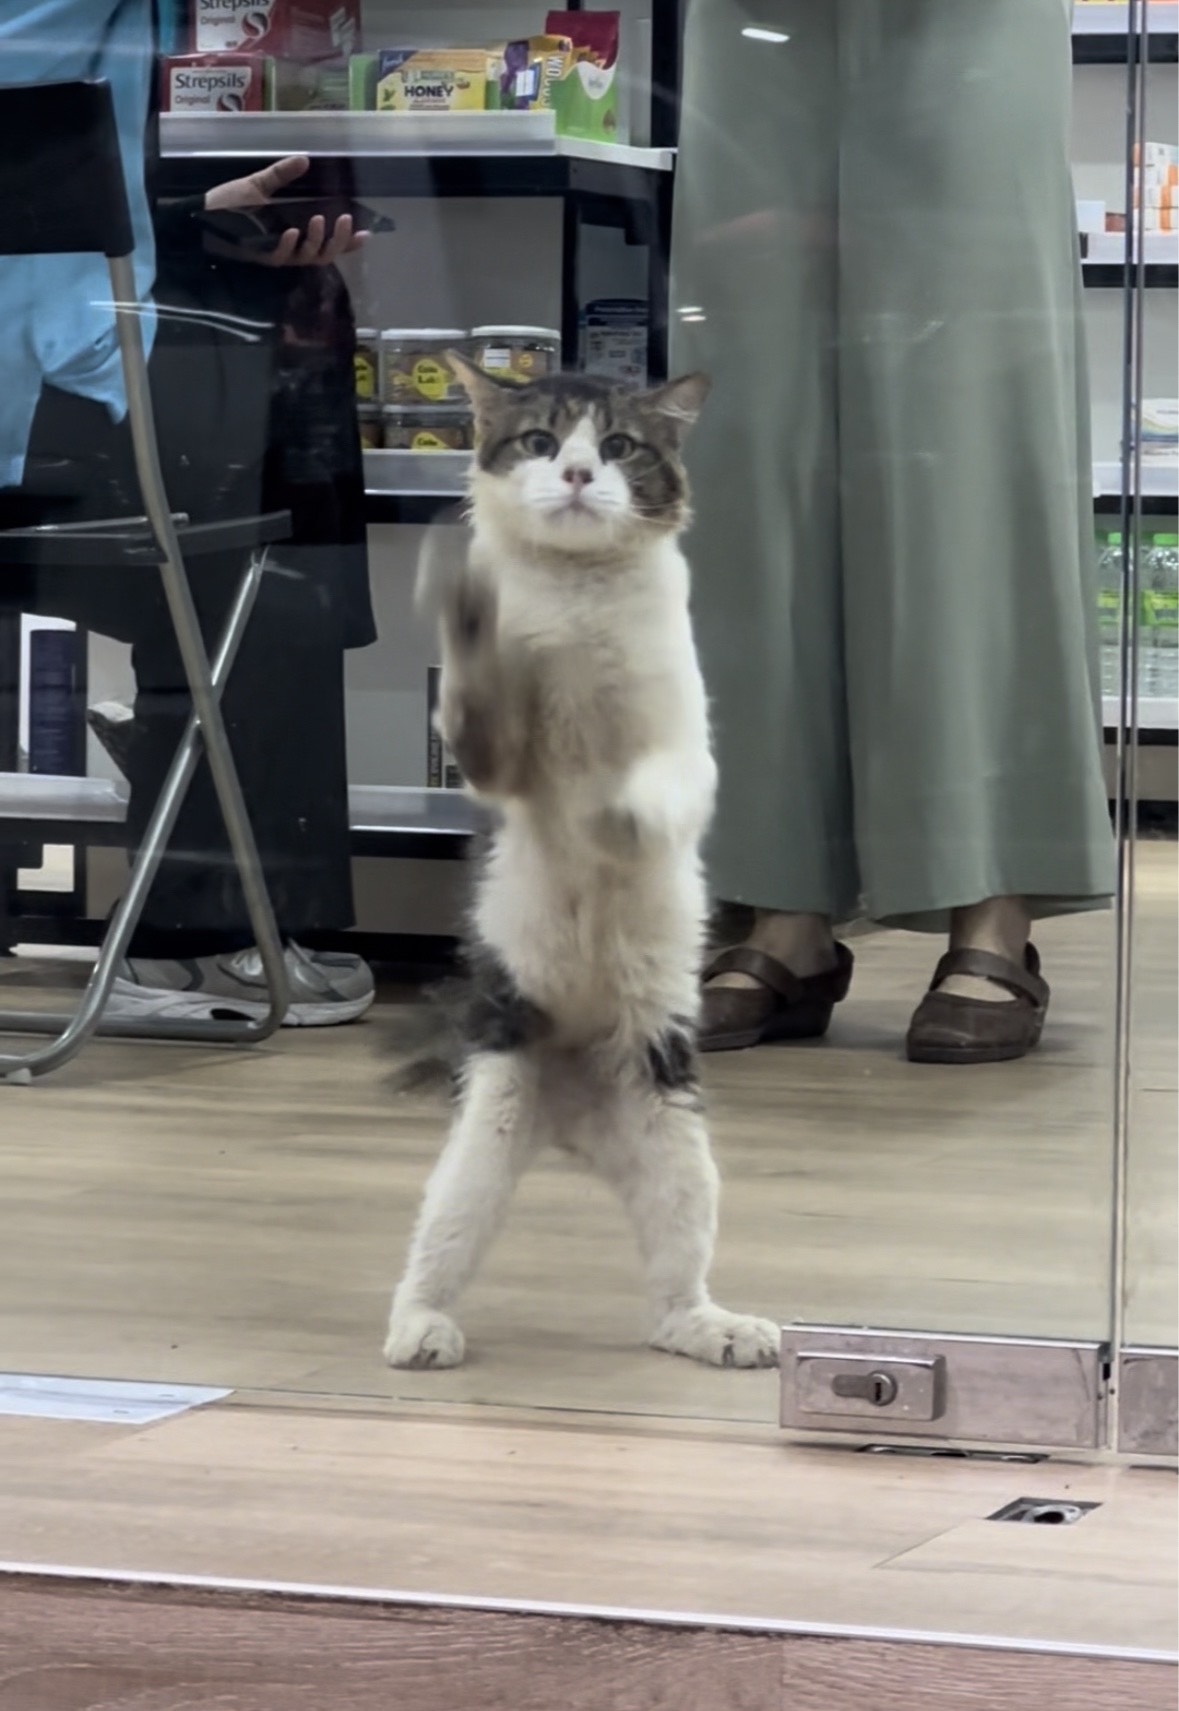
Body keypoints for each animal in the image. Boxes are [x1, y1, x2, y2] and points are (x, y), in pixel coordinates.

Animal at [381, 357, 776, 1375]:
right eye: (538, 441)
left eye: (619, 446)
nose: (572, 474)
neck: (575, 601)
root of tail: (571, 1125)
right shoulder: (495, 761)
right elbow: (480, 704)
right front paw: (461, 606)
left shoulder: (687, 744)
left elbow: (660, 788)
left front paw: (616, 808)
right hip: (481, 1142)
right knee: (434, 1249)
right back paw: (417, 1329)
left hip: (677, 1144)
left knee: (673, 1290)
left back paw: (718, 1327)